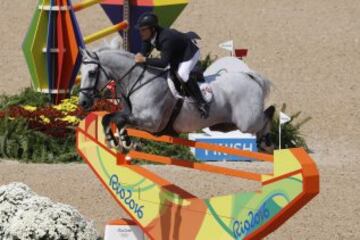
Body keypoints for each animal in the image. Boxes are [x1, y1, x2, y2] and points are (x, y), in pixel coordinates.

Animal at [79, 42, 274, 153]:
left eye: (92, 72)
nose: (83, 102)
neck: (137, 80)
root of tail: (250, 77)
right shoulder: (132, 114)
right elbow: (109, 118)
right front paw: (114, 141)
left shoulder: (152, 121)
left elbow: (119, 120)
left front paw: (125, 141)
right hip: (228, 125)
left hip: (247, 122)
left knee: (266, 117)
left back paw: (266, 142)